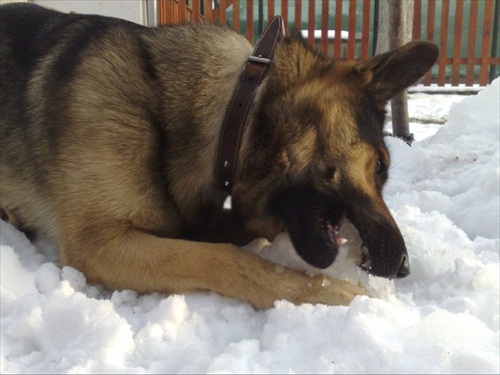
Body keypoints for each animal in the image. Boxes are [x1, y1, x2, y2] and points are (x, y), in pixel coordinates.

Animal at [0, 2, 438, 308]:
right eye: (379, 166)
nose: (404, 267)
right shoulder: (97, 244)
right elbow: (224, 259)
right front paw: (324, 291)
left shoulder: (195, 219)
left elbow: (253, 231)